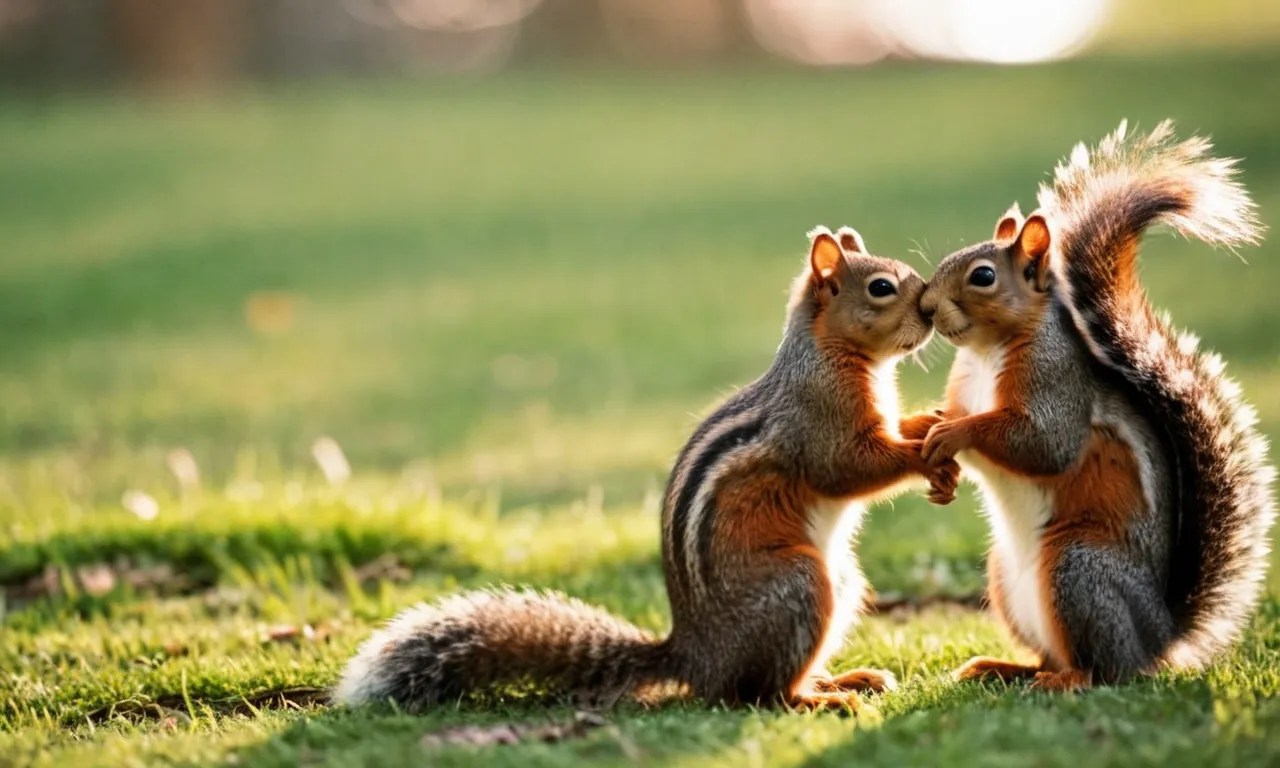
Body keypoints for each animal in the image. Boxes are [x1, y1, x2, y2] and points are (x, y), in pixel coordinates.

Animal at [334, 226, 959, 712]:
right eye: (881, 288)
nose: (930, 313)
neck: (832, 355)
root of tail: (694, 656)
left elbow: (893, 432)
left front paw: (933, 423)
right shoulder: (817, 420)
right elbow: (848, 469)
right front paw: (924, 456)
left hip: (841, 580)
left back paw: (847, 678)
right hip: (798, 586)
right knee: (755, 694)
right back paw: (822, 699)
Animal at [915, 121, 1275, 691]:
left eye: (983, 277)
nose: (927, 307)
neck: (987, 351)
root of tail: (1158, 635)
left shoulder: (1056, 385)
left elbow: (1042, 444)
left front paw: (953, 434)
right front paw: (938, 463)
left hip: (1078, 567)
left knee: (1106, 670)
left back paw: (1067, 680)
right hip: (1007, 582)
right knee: (1049, 655)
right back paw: (1000, 667)